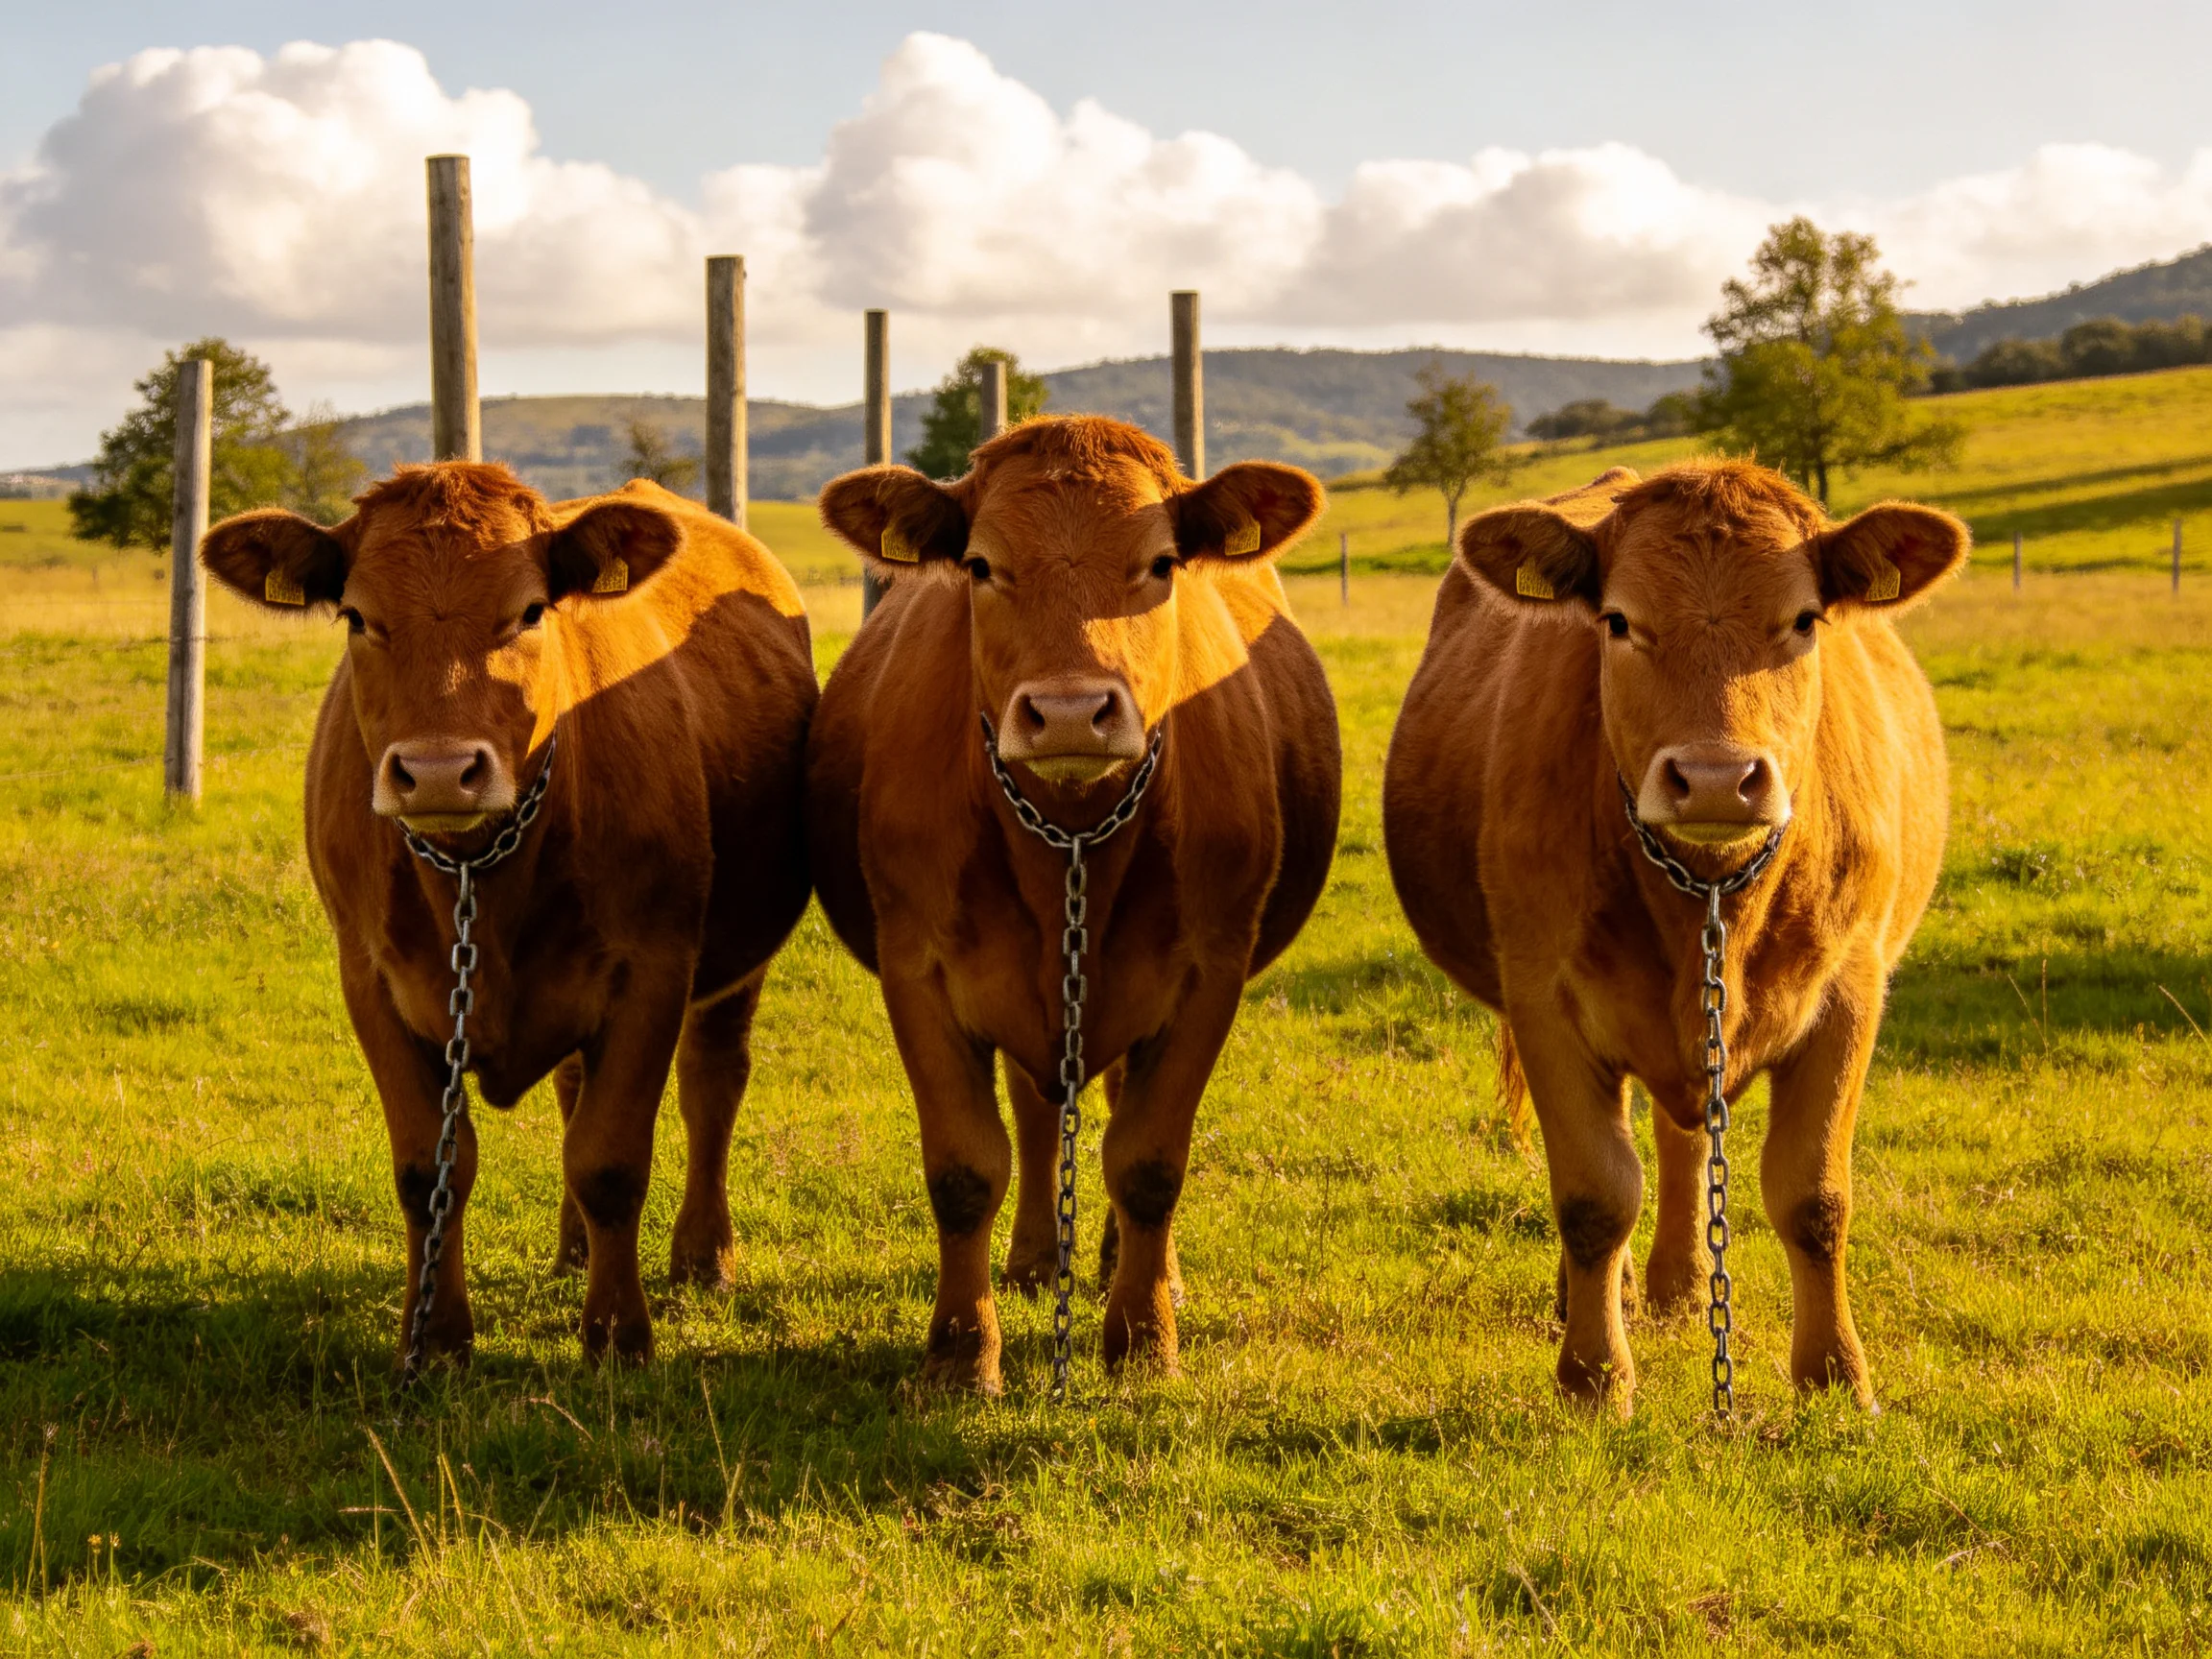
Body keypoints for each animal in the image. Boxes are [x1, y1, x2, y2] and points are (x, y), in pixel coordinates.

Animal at [199, 464, 817, 1367]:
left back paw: (704, 1257)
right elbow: (431, 1170)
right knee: (572, 1087)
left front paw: (618, 1338)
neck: (479, 875)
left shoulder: (653, 970)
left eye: (529, 611)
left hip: (734, 969)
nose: (438, 771)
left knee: (712, 1084)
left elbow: (610, 1160)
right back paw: (573, 1252)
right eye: (356, 615)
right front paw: (436, 1338)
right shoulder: (371, 980)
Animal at [806, 416, 1341, 1393]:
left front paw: (1143, 1340)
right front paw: (960, 1353)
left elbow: (1149, 1161)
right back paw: (1030, 1264)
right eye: (980, 565)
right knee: (1035, 1109)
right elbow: (965, 1168)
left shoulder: (1209, 971)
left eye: (1162, 563)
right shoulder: (919, 970)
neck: (1070, 841)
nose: (1065, 713)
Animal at [1383, 459, 1966, 1414]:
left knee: (1684, 1138)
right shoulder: (1545, 1001)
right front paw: (1593, 1380)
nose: (1718, 779)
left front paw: (1836, 1376)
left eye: (1805, 620)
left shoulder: (1850, 993)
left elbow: (1814, 1197)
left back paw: (1683, 1287)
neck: (1708, 894)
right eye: (1619, 621)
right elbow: (1593, 1197)